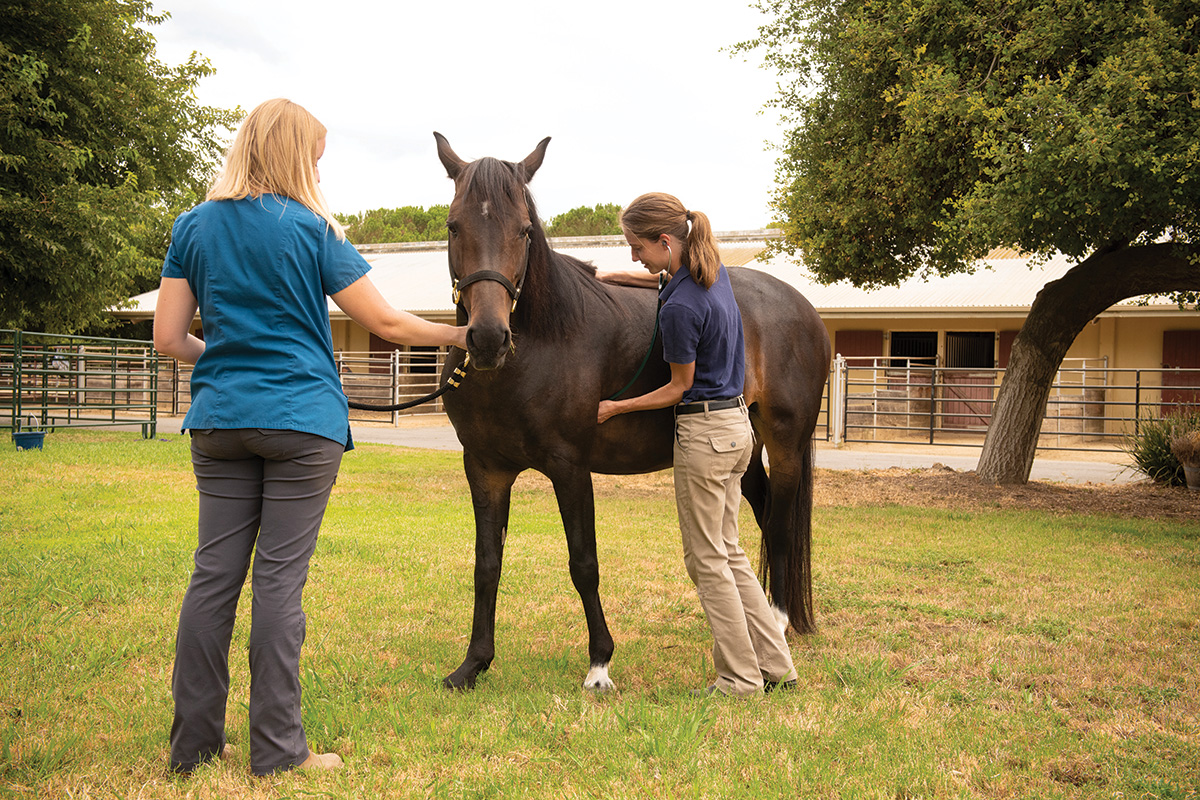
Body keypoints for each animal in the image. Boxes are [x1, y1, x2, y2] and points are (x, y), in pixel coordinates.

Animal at [434, 134, 835, 690]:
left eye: (524, 230)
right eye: (454, 226)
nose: (489, 339)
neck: (538, 346)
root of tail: (804, 309)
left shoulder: (569, 467)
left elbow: (583, 562)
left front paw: (600, 664)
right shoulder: (485, 470)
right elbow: (486, 564)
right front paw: (473, 665)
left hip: (786, 442)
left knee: (780, 525)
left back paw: (776, 626)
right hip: (747, 448)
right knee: (762, 515)